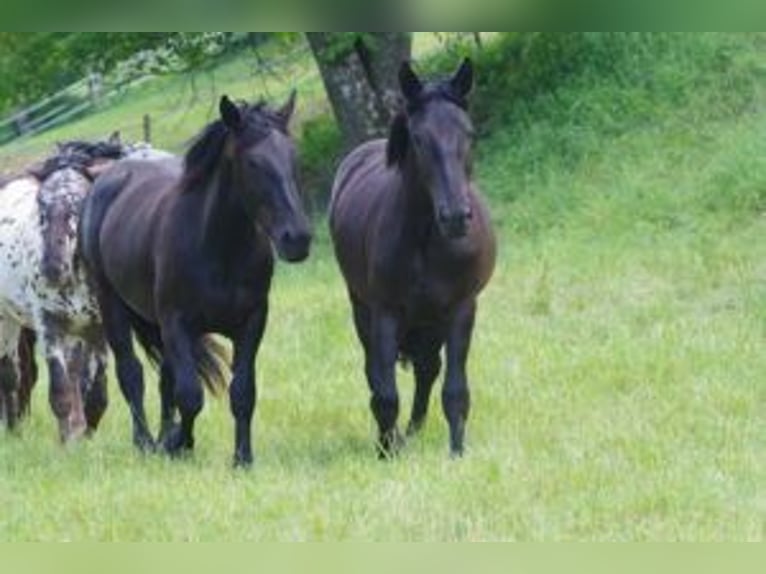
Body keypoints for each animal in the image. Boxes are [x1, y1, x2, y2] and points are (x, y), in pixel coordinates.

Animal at [0, 137, 171, 438]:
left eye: (78, 204)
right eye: (41, 206)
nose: (53, 269)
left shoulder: (98, 330)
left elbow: (95, 393)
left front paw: (84, 437)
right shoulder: (50, 326)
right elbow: (60, 391)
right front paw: (67, 442)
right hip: (6, 320)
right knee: (10, 374)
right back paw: (14, 431)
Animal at [81, 92, 312, 466]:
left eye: (292, 156)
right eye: (253, 163)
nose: (298, 239)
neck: (219, 248)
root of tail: (108, 176)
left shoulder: (251, 323)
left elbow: (242, 392)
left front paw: (241, 458)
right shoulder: (177, 323)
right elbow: (190, 394)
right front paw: (178, 443)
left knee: (164, 378)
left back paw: (162, 437)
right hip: (112, 305)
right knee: (131, 374)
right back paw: (146, 443)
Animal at [330, 58, 498, 460]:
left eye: (469, 134)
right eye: (419, 139)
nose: (456, 217)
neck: (426, 241)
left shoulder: (461, 309)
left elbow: (454, 390)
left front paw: (456, 452)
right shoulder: (385, 313)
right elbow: (385, 392)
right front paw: (386, 452)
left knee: (427, 369)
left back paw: (414, 429)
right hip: (363, 309)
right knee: (377, 372)